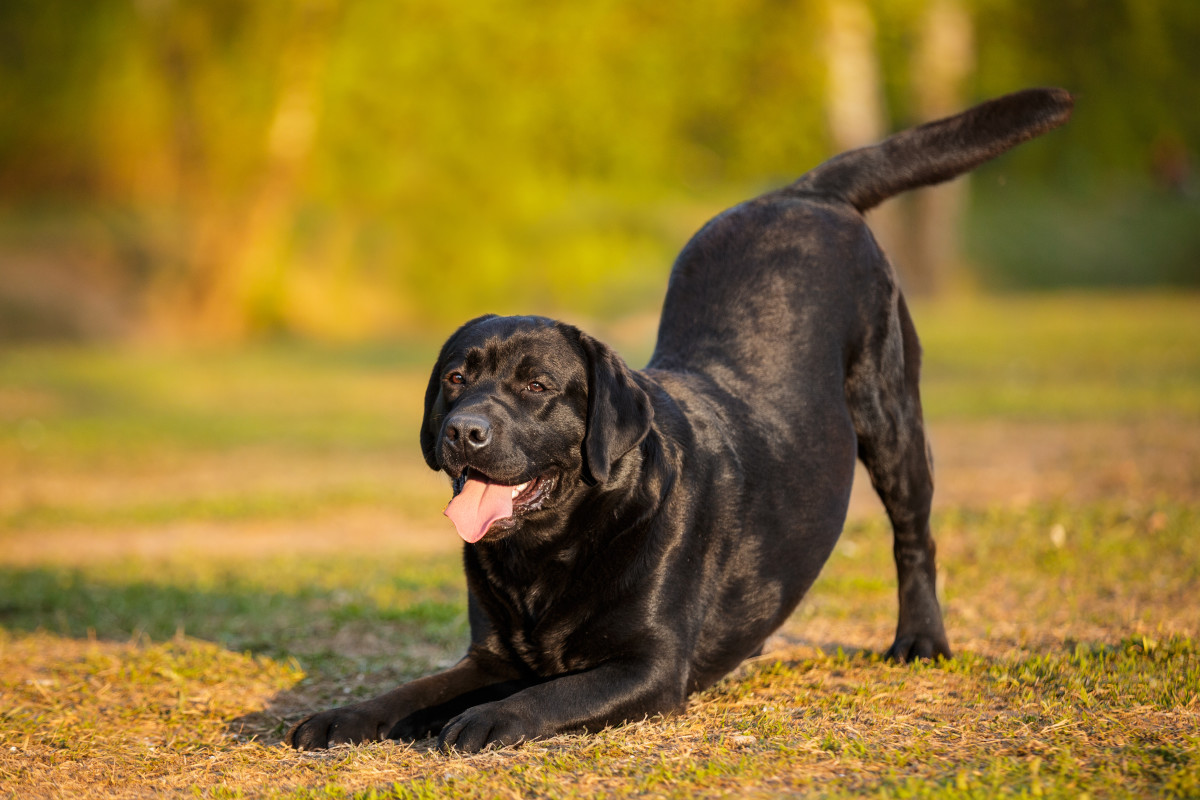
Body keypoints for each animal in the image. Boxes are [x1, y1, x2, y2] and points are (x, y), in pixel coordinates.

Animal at [288, 90, 1070, 753]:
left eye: (537, 385)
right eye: (456, 379)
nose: (463, 431)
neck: (548, 554)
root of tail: (801, 192)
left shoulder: (650, 667)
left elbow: (543, 697)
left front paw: (486, 719)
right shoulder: (489, 656)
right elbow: (412, 690)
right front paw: (340, 715)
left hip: (890, 414)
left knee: (915, 538)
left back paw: (920, 642)